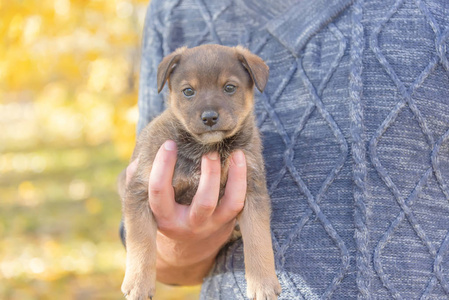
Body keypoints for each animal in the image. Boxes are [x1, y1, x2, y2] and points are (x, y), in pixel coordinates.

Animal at [119, 44, 280, 300]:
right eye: (188, 91)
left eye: (229, 87)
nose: (209, 117)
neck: (206, 148)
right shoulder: (139, 190)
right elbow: (141, 242)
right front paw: (138, 283)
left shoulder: (253, 191)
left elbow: (259, 240)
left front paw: (263, 282)